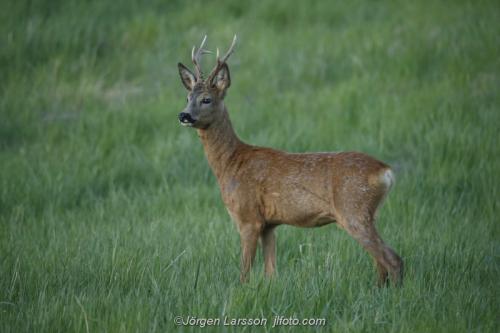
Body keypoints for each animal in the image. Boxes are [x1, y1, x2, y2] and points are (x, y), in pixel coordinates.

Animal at [178, 35, 404, 286]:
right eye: (187, 97)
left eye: (206, 99)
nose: (184, 115)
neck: (230, 164)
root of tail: (385, 171)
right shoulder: (269, 224)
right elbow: (271, 273)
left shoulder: (248, 217)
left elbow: (244, 273)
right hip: (369, 213)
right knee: (381, 263)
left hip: (353, 210)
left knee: (393, 259)